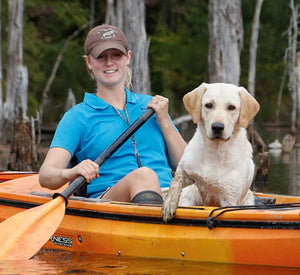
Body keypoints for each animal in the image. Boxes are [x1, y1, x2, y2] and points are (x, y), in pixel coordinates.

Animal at [162, 83, 260, 223]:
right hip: (189, 197)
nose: (217, 127)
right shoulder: (185, 169)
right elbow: (175, 181)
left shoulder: (229, 198)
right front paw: (169, 204)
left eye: (232, 107)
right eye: (208, 105)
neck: (215, 152)